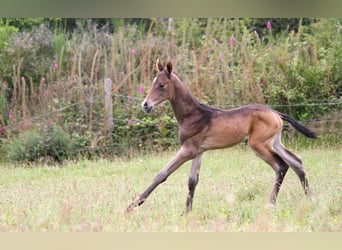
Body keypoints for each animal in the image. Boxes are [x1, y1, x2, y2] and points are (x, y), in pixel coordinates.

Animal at [125, 58, 316, 213]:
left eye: (161, 85)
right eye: (153, 83)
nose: (145, 105)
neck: (192, 115)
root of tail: (275, 113)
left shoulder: (188, 150)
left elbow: (162, 174)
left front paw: (132, 206)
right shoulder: (199, 151)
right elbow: (192, 181)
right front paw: (186, 212)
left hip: (258, 144)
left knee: (280, 166)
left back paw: (270, 204)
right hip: (274, 142)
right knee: (296, 162)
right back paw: (311, 198)